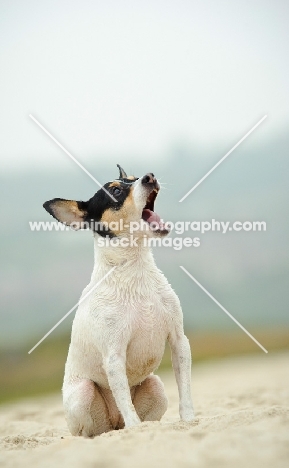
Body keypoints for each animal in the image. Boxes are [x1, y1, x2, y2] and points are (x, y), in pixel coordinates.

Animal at [43, 164, 194, 436]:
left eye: (134, 178)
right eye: (115, 191)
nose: (150, 177)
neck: (135, 268)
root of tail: (114, 422)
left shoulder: (179, 341)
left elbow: (185, 390)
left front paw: (189, 419)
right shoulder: (114, 357)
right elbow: (123, 397)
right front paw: (135, 427)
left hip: (156, 386)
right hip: (83, 394)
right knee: (92, 431)